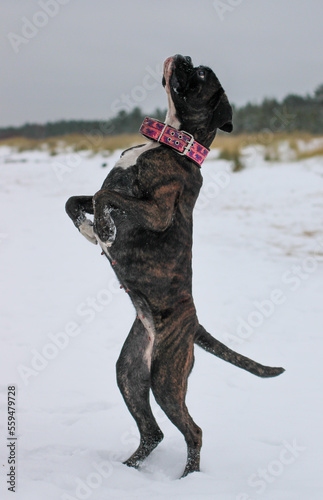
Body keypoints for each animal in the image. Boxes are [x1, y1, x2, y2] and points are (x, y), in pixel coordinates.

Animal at [66, 53, 286, 476]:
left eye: (200, 75)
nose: (184, 57)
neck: (173, 144)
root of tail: (194, 323)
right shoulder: (109, 191)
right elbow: (74, 200)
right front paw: (90, 230)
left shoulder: (157, 210)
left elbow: (103, 196)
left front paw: (104, 229)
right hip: (131, 373)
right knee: (153, 432)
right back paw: (128, 468)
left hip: (167, 379)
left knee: (193, 431)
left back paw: (187, 478)